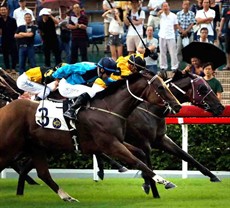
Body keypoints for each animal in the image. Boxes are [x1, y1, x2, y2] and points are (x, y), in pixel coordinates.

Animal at [0, 72, 181, 202]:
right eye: (161, 87)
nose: (178, 105)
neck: (108, 109)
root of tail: (5, 108)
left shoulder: (117, 142)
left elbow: (141, 156)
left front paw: (148, 183)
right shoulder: (111, 145)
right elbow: (138, 162)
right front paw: (164, 181)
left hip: (37, 147)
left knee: (43, 173)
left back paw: (67, 197)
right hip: (11, 146)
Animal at [95, 70, 225, 198]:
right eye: (203, 88)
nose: (221, 107)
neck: (151, 110)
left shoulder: (161, 139)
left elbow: (186, 156)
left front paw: (213, 176)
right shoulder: (143, 143)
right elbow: (148, 165)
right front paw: (155, 192)